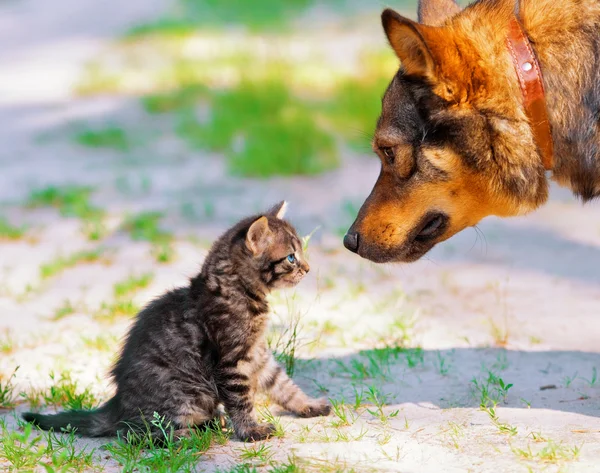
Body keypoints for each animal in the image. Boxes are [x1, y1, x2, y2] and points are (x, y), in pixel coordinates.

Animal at [23, 201, 330, 440]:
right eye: (291, 257)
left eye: (300, 254)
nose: (307, 268)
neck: (238, 291)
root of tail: (117, 405)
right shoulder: (231, 360)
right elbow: (241, 401)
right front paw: (250, 431)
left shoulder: (258, 354)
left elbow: (283, 385)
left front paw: (309, 405)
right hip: (181, 396)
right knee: (138, 434)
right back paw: (190, 435)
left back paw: (211, 423)